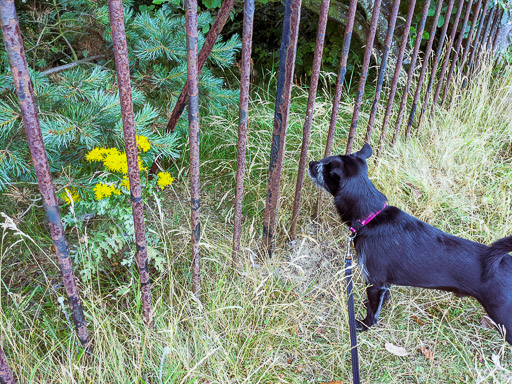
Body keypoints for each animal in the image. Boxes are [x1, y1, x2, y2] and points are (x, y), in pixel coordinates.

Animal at [308, 142, 512, 344]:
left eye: (322, 166)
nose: (310, 163)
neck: (371, 216)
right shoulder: (384, 283)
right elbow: (383, 299)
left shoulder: (374, 281)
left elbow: (372, 311)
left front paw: (364, 325)